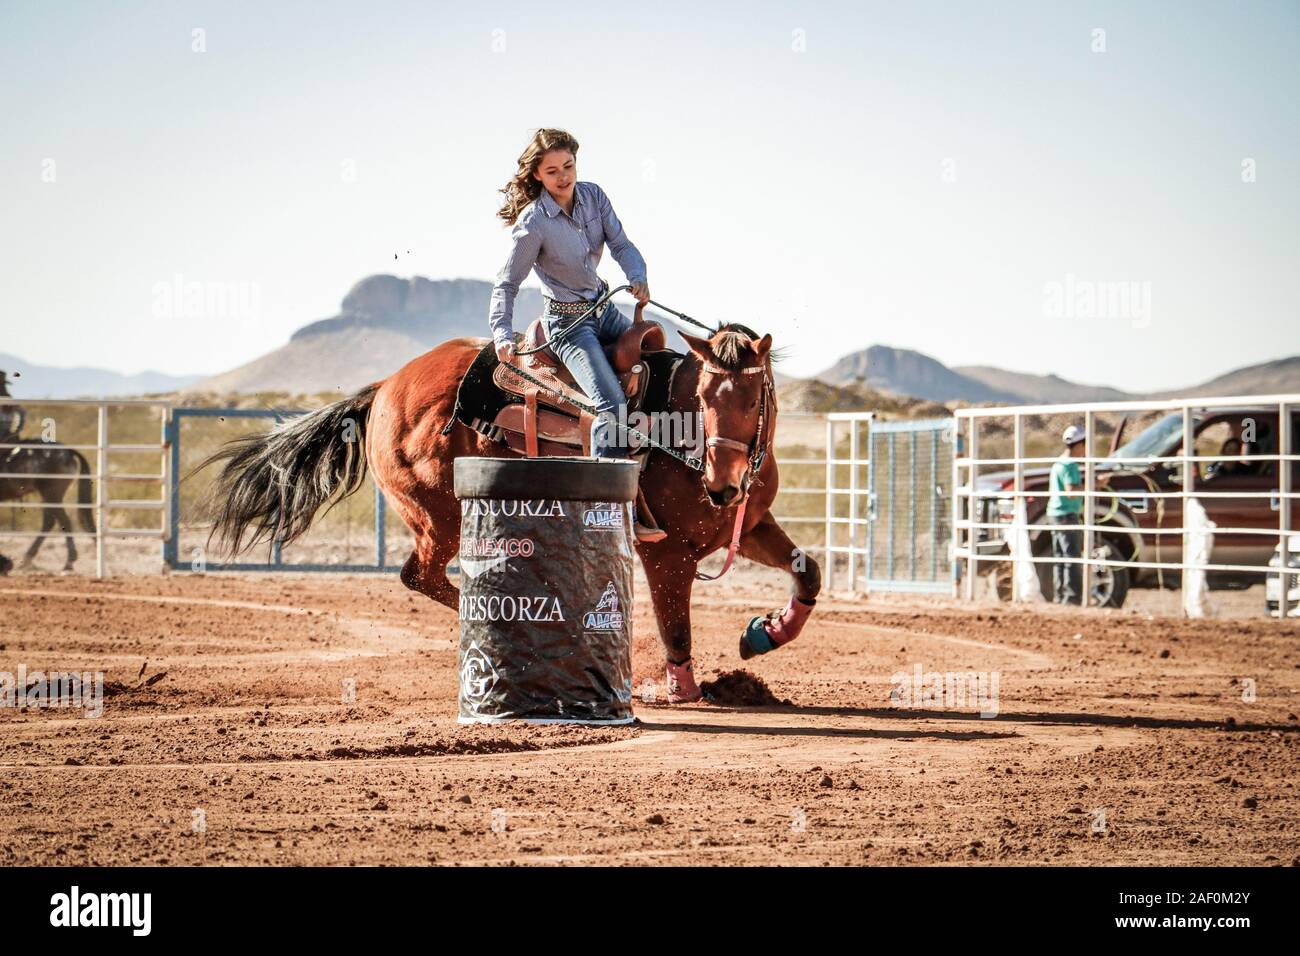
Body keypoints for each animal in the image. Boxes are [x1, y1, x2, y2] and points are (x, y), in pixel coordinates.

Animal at [0, 442, 94, 572]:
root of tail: (68, 451)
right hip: (49, 496)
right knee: (50, 521)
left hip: (52, 494)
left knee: (63, 521)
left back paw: (68, 563)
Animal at [204, 325, 821, 697]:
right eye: (702, 399)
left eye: (754, 398)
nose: (722, 486)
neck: (674, 434)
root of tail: (385, 389)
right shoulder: (668, 552)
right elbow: (677, 628)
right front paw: (685, 689)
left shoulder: (752, 525)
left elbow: (807, 570)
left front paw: (764, 633)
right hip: (439, 518)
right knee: (423, 576)